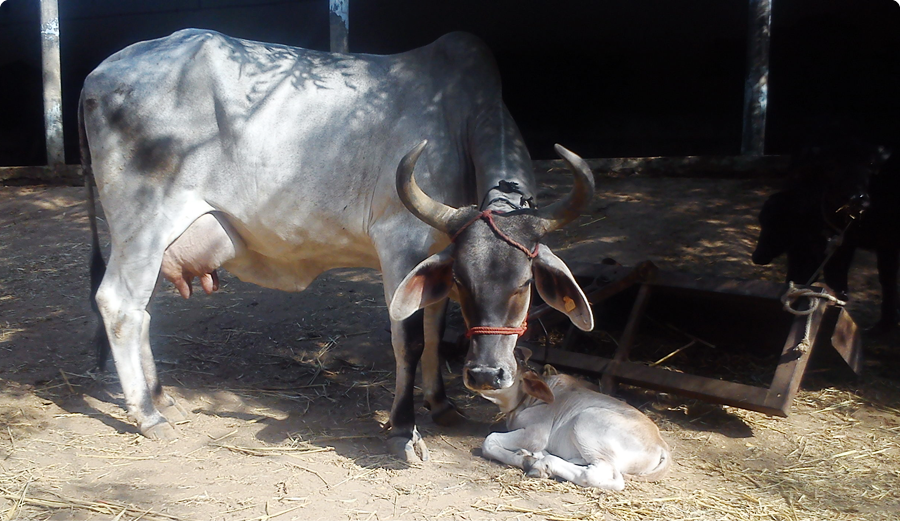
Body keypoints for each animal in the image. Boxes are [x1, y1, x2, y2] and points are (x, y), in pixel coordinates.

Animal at [81, 29, 596, 460]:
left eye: (524, 283)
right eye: (470, 283)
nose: (487, 375)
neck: (460, 120)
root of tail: (98, 74)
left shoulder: (437, 252)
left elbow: (434, 329)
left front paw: (441, 403)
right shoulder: (399, 244)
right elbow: (408, 339)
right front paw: (402, 429)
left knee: (143, 312)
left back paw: (162, 397)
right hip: (141, 224)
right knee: (119, 306)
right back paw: (149, 415)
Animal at [478, 348, 668, 490]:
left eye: (504, 370)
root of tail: (661, 444)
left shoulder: (536, 434)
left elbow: (489, 440)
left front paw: (526, 460)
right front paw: (526, 455)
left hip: (587, 420)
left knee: (604, 476)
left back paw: (542, 465)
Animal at [752, 139, 892, 330]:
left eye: (778, 224)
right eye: (762, 221)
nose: (757, 256)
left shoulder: (842, 245)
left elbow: (836, 279)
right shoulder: (805, 251)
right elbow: (800, 277)